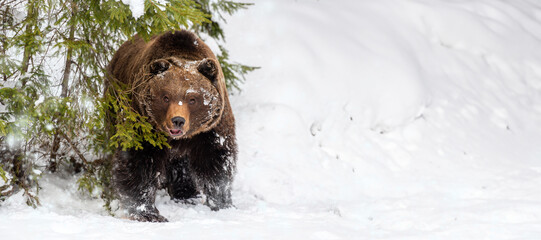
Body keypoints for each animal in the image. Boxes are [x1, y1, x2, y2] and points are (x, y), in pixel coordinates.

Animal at [107, 29, 236, 222]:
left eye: (192, 99)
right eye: (166, 97)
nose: (178, 120)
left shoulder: (210, 129)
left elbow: (216, 161)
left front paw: (222, 204)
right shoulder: (143, 122)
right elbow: (138, 162)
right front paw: (148, 212)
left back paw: (187, 195)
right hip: (113, 102)